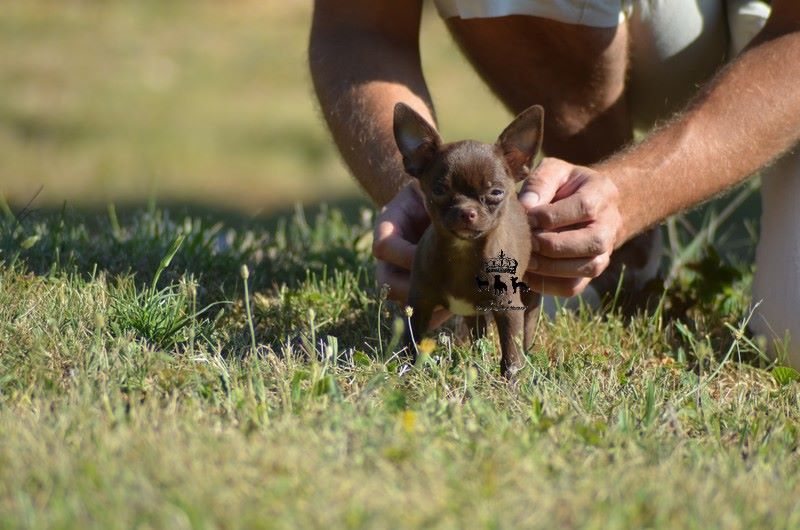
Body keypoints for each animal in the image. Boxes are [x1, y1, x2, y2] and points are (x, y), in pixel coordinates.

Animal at [394, 102, 544, 376]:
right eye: (439, 190)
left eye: (496, 192)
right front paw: (410, 369)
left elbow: (510, 351)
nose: (467, 211)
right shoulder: (420, 303)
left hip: (528, 294)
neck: (462, 252)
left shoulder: (508, 309)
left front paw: (511, 380)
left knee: (527, 325)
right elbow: (413, 339)